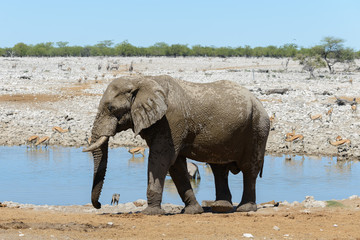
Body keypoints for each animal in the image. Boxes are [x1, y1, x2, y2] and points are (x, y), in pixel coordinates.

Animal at [83, 75, 270, 216]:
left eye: (110, 107)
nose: (99, 205)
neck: (142, 80)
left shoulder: (171, 120)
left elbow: (162, 158)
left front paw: (150, 213)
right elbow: (176, 164)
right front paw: (192, 211)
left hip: (258, 128)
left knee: (249, 168)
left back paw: (245, 208)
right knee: (219, 169)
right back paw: (221, 207)